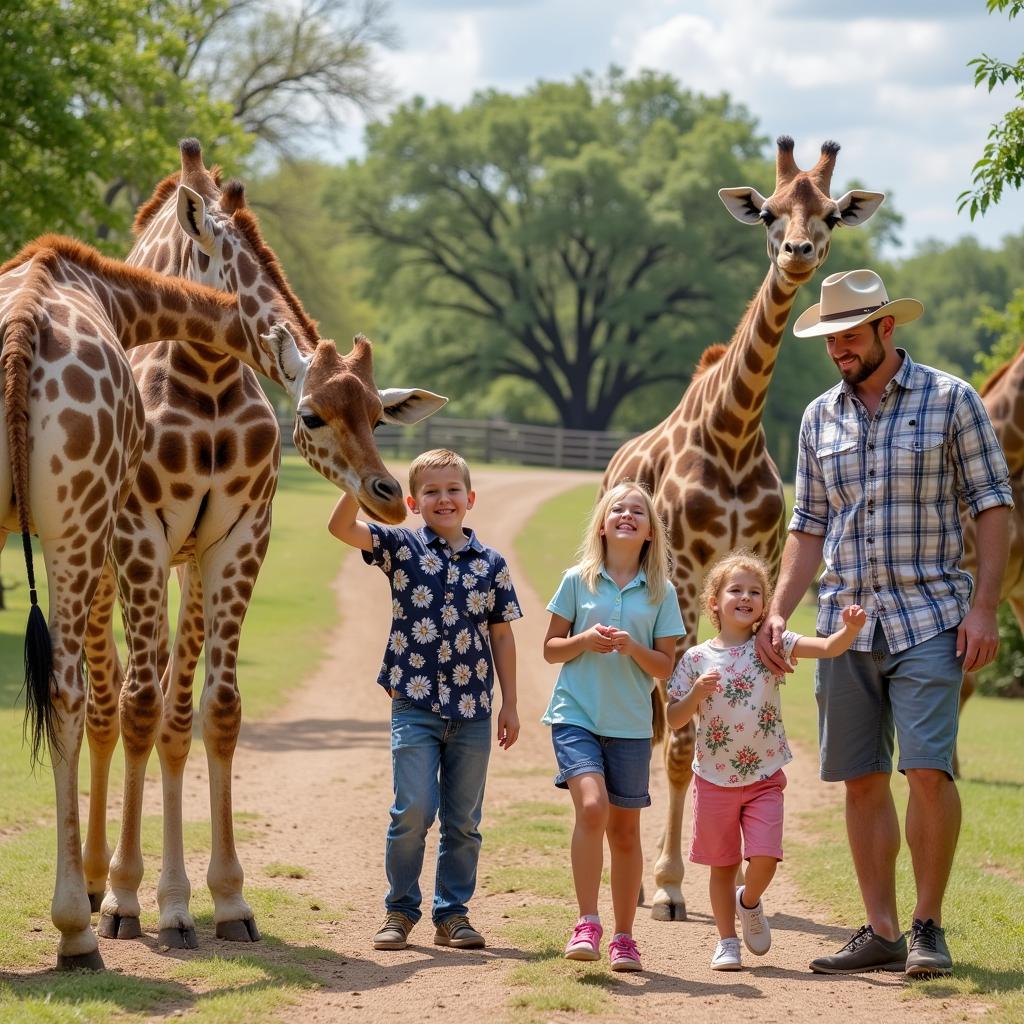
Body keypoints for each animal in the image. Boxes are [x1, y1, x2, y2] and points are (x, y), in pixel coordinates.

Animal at [77, 136, 446, 950]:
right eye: (309, 415)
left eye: (378, 413)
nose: (387, 494)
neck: (206, 373)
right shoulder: (139, 533)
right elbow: (137, 706)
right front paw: (126, 898)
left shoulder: (240, 538)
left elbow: (216, 710)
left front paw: (222, 901)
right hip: (94, 555)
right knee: (103, 701)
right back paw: (92, 885)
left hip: (185, 570)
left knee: (171, 709)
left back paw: (167, 900)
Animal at [602, 138, 884, 921]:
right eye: (767, 211)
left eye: (829, 214)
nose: (797, 252)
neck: (732, 432)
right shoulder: (688, 579)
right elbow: (683, 739)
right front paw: (670, 885)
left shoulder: (759, 564)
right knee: (658, 725)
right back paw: (638, 880)